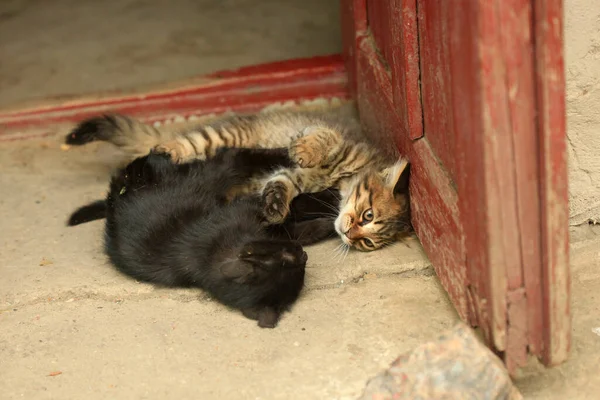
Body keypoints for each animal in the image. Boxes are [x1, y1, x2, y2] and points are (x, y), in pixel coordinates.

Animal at [67, 109, 412, 252]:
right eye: (368, 215)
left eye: (368, 242)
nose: (351, 236)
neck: (339, 181)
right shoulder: (330, 138)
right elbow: (321, 140)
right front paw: (306, 151)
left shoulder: (291, 178)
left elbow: (281, 185)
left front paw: (274, 207)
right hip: (223, 137)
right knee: (184, 143)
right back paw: (168, 149)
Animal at [68, 148, 340, 328]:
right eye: (287, 260)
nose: (302, 254)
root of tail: (115, 191)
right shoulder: (251, 212)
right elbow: (298, 211)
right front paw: (330, 203)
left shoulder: (266, 223)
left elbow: (297, 220)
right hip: (207, 175)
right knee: (232, 157)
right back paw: (283, 154)